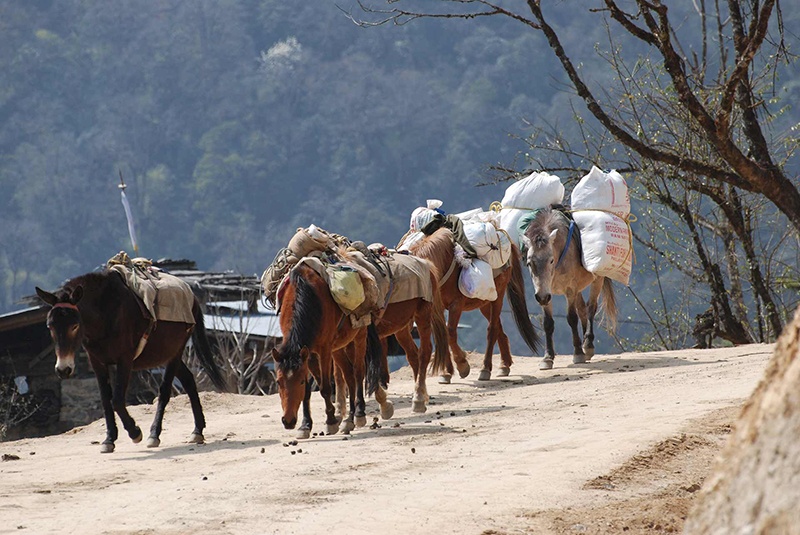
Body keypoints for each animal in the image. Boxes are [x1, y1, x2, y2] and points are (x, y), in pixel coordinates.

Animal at [34, 272, 228, 452]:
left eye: (74, 326)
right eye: (50, 326)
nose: (63, 369)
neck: (105, 313)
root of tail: (193, 298)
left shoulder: (124, 360)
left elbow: (118, 400)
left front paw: (134, 432)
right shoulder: (97, 362)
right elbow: (105, 400)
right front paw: (109, 439)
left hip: (176, 351)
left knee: (165, 391)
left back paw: (154, 434)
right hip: (165, 353)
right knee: (188, 380)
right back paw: (197, 431)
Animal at [520, 204, 620, 368]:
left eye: (551, 260)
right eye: (529, 263)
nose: (542, 297)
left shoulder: (569, 290)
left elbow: (572, 318)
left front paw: (578, 353)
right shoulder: (545, 292)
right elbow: (548, 323)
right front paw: (547, 358)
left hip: (596, 280)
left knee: (591, 308)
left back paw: (588, 345)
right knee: (583, 309)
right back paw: (585, 345)